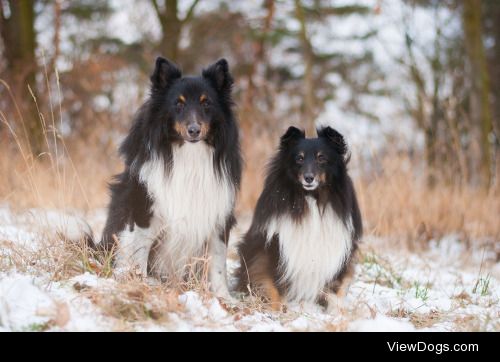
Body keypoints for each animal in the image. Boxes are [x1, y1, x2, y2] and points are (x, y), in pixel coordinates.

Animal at [98, 57, 241, 300]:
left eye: (206, 103)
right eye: (178, 103)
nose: (194, 130)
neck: (189, 153)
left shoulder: (219, 213)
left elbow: (218, 261)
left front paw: (224, 298)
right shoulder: (145, 209)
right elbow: (140, 251)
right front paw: (140, 284)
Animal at [236, 126, 362, 310]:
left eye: (321, 158)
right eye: (299, 158)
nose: (308, 178)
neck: (311, 197)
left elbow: (335, 289)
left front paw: (338, 311)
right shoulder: (272, 244)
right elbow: (271, 283)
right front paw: (276, 309)